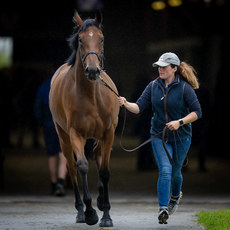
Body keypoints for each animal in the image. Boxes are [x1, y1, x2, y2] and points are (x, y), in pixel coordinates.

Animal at [49, 10, 119, 226]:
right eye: (80, 40)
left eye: (101, 38)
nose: (93, 71)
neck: (91, 97)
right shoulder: (75, 134)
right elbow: (82, 166)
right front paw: (90, 213)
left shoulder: (108, 133)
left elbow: (104, 171)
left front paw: (106, 215)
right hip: (63, 137)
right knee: (71, 168)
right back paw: (81, 211)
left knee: (97, 156)